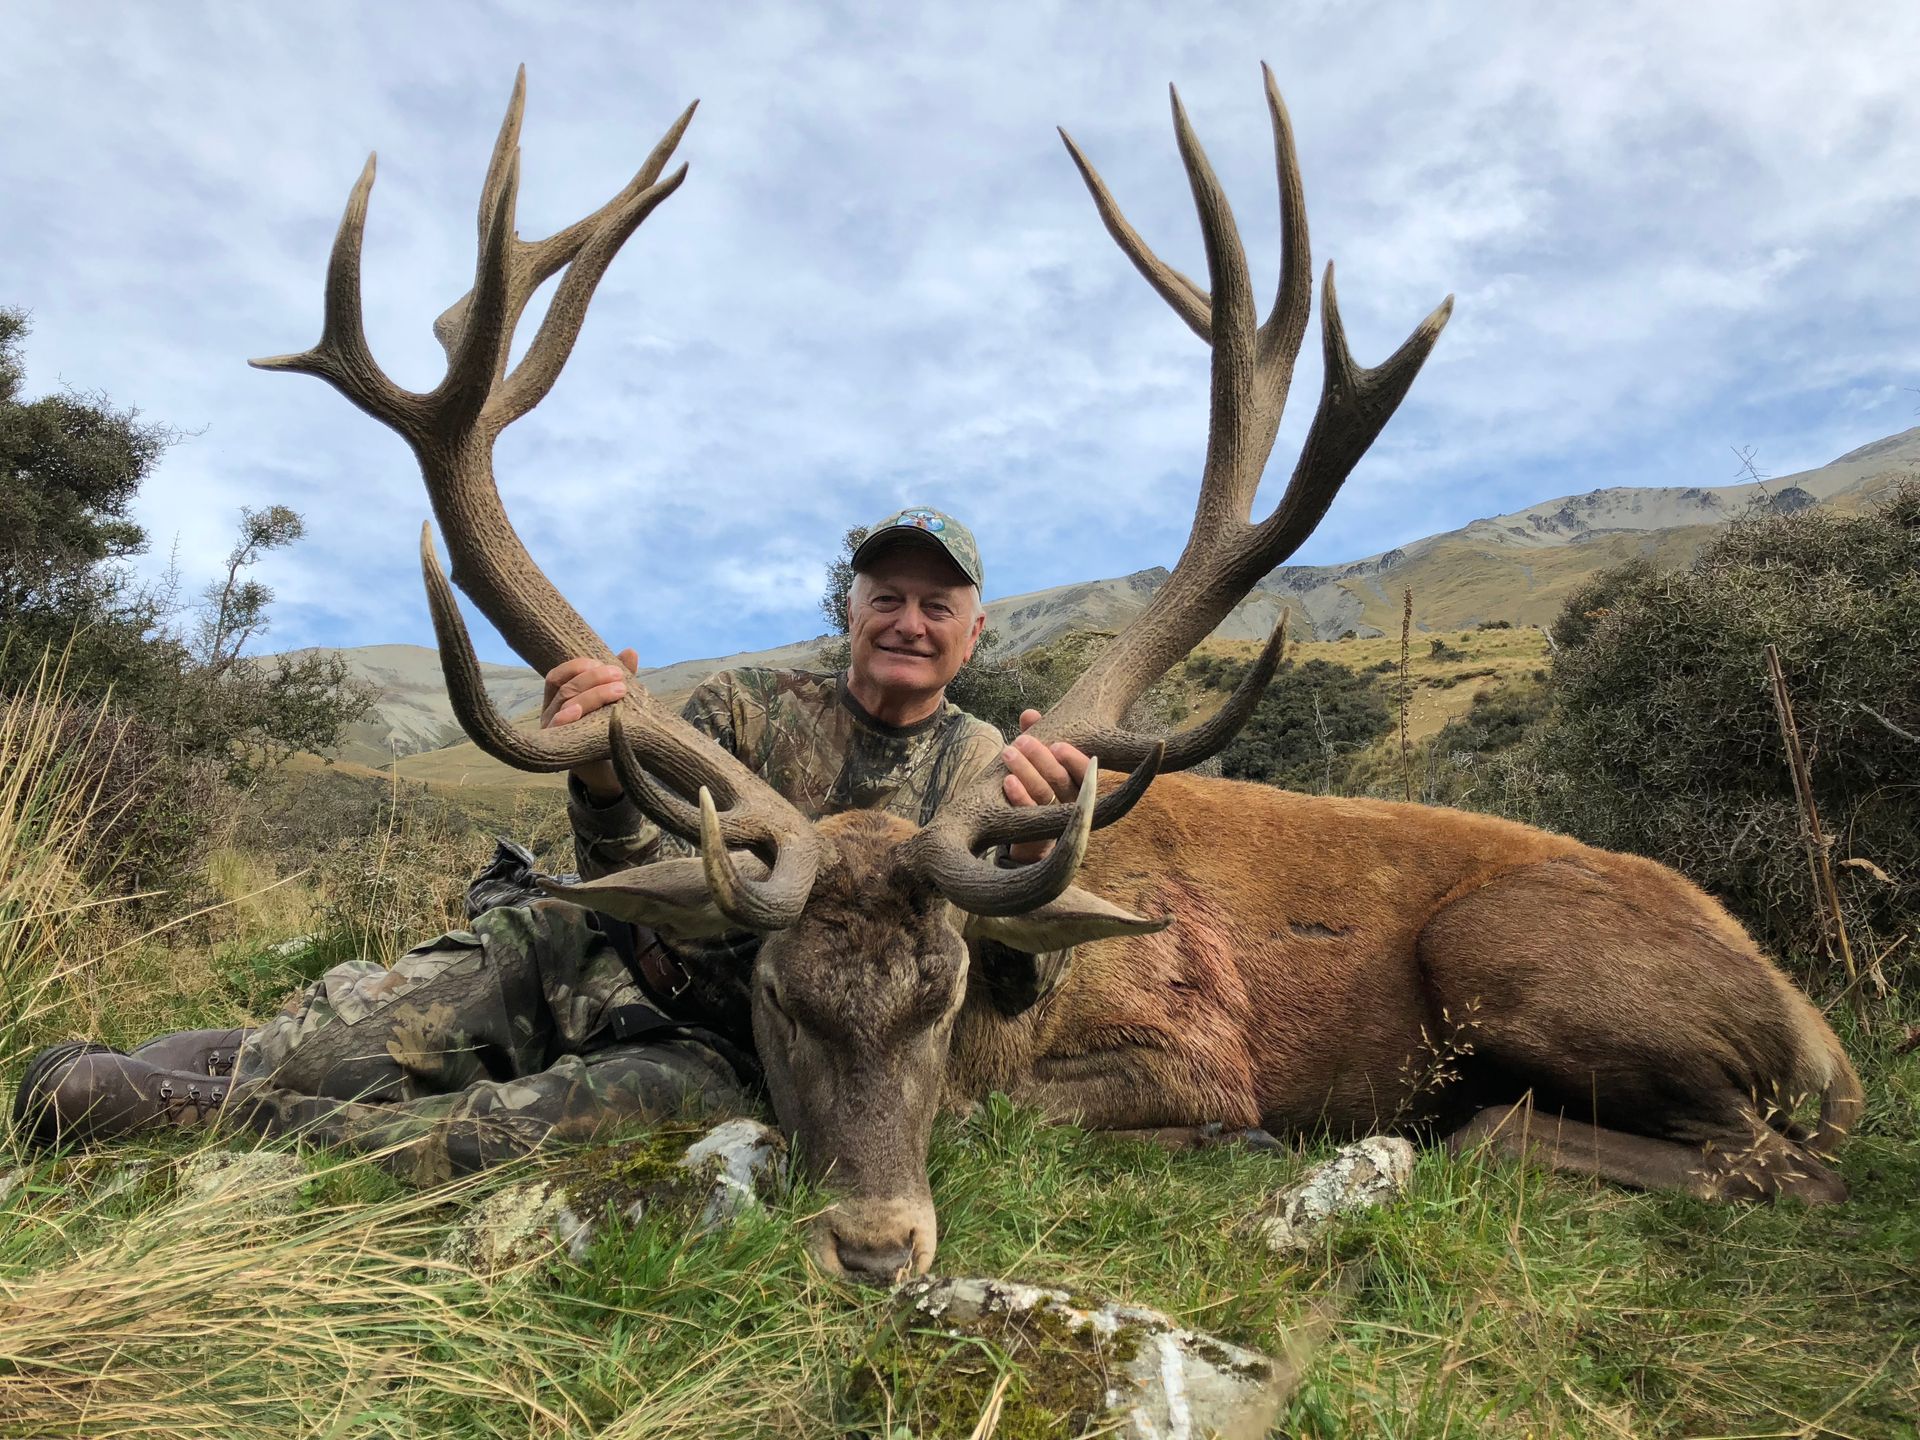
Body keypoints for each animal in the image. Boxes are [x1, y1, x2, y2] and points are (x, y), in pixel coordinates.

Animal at [255, 67, 1863, 1285]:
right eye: (774, 995)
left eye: (946, 989)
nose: (876, 1247)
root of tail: (1817, 1027)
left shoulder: (1196, 1052)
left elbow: (1029, 1118)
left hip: (1516, 952)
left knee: (1769, 1164)